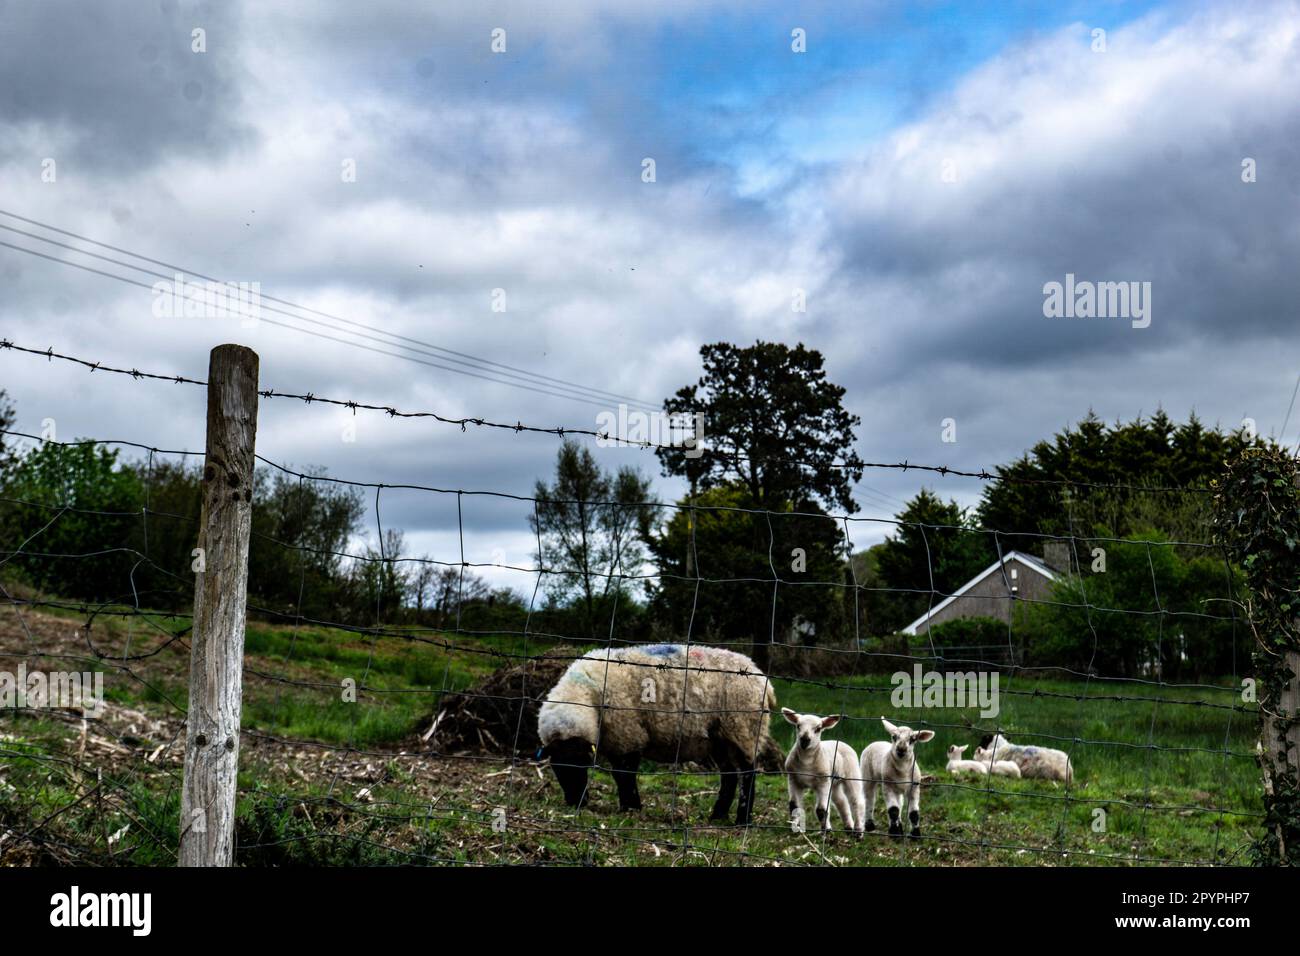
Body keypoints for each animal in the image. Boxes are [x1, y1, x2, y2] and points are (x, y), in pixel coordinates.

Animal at [535, 647, 769, 827]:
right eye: (556, 768)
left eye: (583, 763)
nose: (576, 802)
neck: (589, 693)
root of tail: (760, 675)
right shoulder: (616, 741)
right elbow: (620, 775)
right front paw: (629, 805)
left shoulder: (628, 735)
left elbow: (624, 774)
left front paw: (631, 807)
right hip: (720, 739)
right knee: (729, 776)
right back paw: (717, 816)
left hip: (743, 730)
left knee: (748, 774)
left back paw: (742, 820)